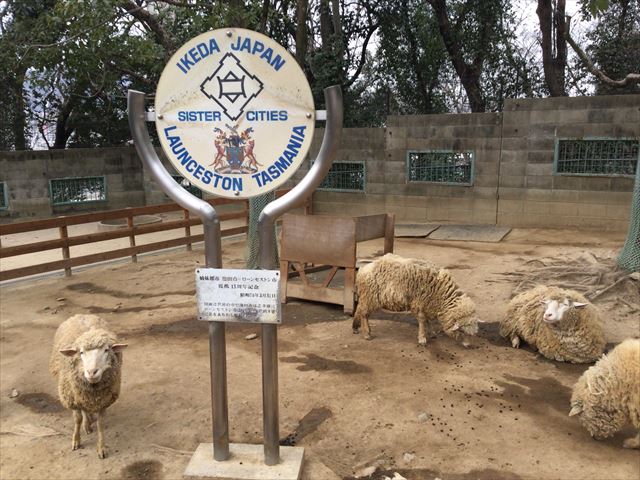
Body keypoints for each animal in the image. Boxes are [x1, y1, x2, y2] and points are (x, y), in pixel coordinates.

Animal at [48, 316, 127, 458]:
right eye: (81, 352)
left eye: (106, 350)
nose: (92, 372)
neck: (92, 390)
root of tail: (80, 315)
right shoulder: (72, 397)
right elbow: (77, 419)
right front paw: (76, 440)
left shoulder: (103, 401)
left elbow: (100, 424)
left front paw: (101, 448)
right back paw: (87, 424)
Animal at [352, 253, 482, 346]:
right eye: (462, 331)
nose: (468, 345)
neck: (441, 293)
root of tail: (363, 269)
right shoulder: (418, 302)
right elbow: (422, 320)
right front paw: (422, 338)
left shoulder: (427, 303)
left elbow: (428, 320)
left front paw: (431, 333)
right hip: (370, 296)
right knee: (364, 314)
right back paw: (367, 334)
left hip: (367, 298)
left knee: (361, 311)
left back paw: (357, 328)